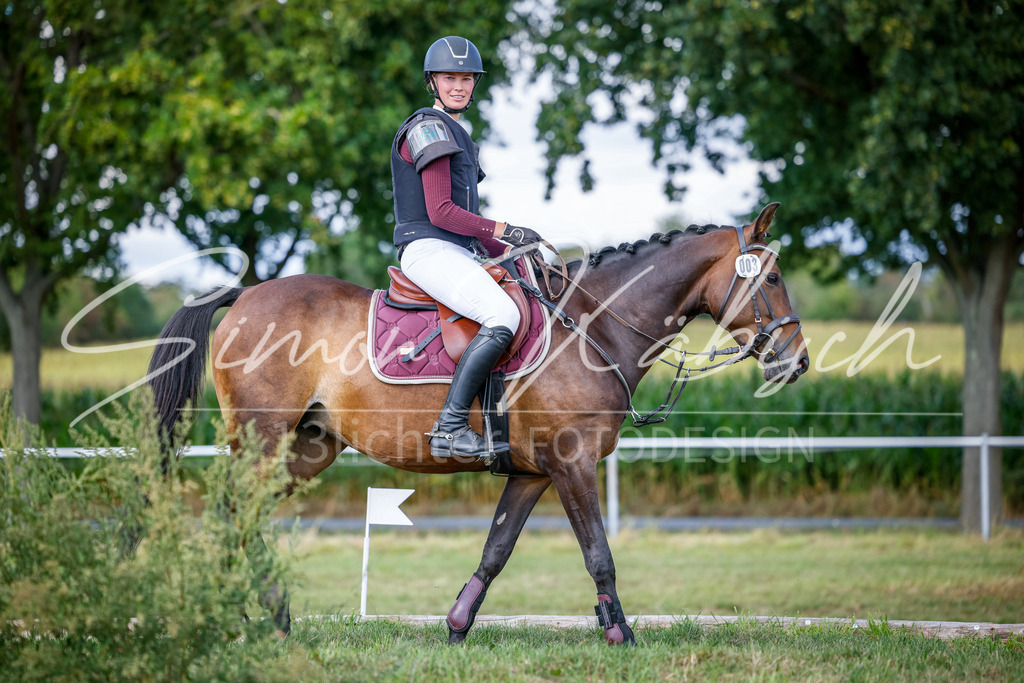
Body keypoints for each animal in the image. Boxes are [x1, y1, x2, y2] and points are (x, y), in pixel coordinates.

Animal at [148, 202, 810, 645]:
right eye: (773, 278)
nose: (797, 362)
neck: (593, 325)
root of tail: (245, 295)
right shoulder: (572, 464)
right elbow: (598, 553)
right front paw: (620, 635)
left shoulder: (532, 473)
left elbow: (496, 550)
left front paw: (458, 626)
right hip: (261, 439)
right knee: (233, 512)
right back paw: (254, 617)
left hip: (308, 447)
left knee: (241, 515)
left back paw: (259, 617)